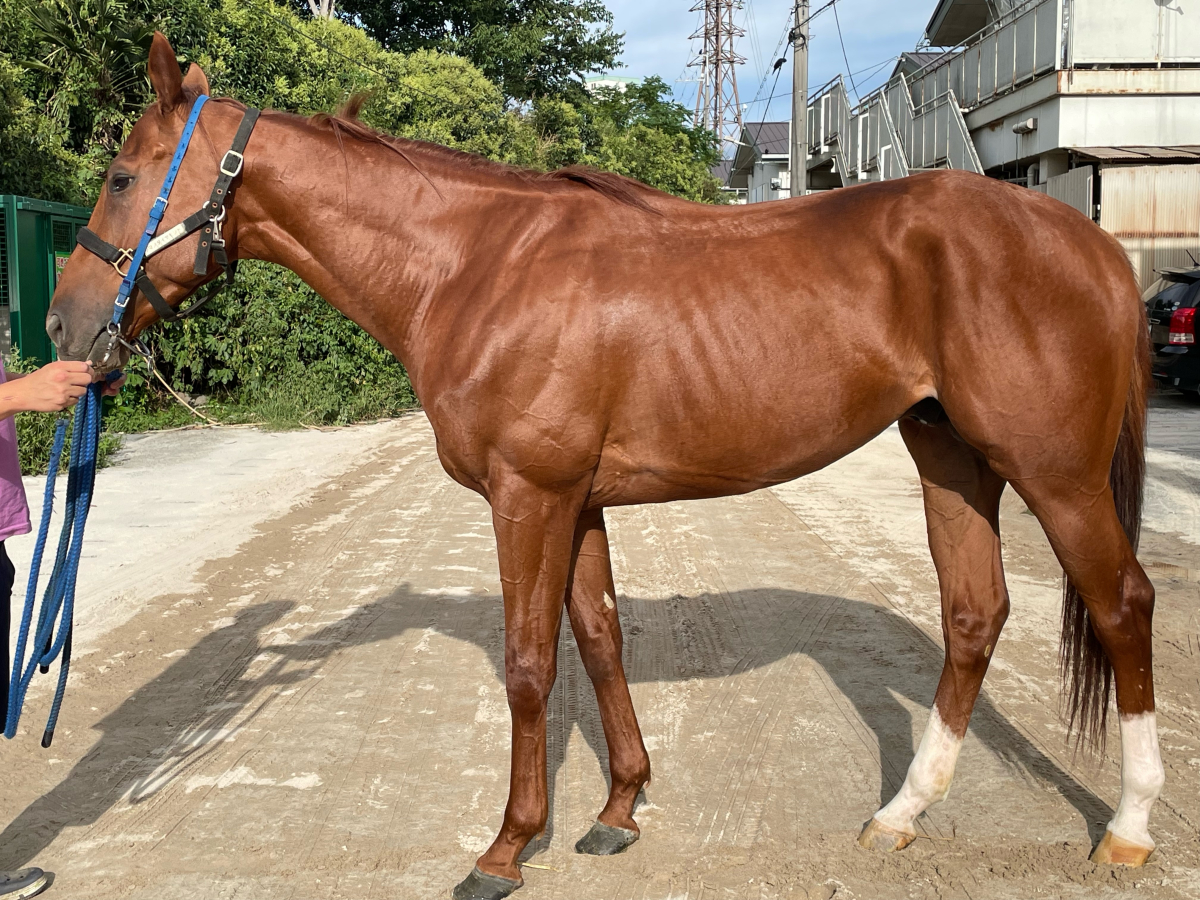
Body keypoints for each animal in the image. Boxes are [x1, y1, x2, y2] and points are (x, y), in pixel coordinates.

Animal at [48, 33, 1162, 900]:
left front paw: (506, 847)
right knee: (975, 615)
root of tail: (1093, 244)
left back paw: (1130, 828)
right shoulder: (577, 503)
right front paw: (619, 807)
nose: (61, 327)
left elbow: (530, 665)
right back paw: (900, 812)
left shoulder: (527, 500)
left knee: (1122, 604)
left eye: (121, 177)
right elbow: (600, 638)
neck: (473, 265)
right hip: (951, 456)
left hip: (1055, 476)